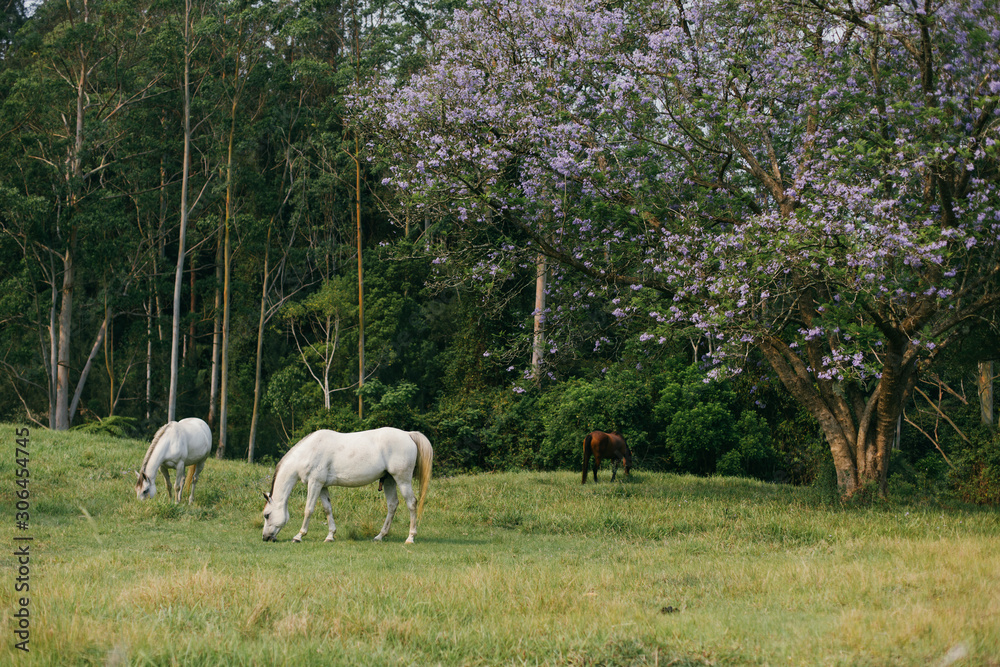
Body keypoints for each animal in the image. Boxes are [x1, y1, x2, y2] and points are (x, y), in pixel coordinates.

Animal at [261, 427, 433, 545]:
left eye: (267, 515)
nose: (265, 537)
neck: (309, 452)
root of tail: (408, 434)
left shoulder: (314, 483)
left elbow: (308, 510)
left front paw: (299, 536)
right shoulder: (322, 486)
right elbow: (327, 509)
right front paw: (330, 536)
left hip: (402, 480)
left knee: (412, 503)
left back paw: (410, 537)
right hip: (390, 480)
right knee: (392, 505)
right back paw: (379, 536)